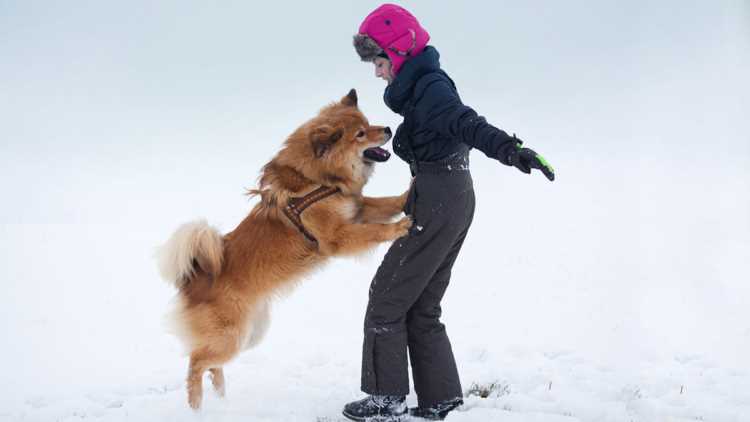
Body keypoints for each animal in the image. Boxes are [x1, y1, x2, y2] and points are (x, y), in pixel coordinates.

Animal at [154, 89, 412, 408]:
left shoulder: (358, 209)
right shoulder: (338, 237)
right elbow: (375, 230)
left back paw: (222, 397)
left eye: (367, 123)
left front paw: (407, 195)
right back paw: (197, 407)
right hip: (231, 337)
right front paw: (398, 227)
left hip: (250, 333)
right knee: (196, 363)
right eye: (361, 134)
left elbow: (385, 203)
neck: (318, 179)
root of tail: (193, 279)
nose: (388, 129)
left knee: (211, 365)